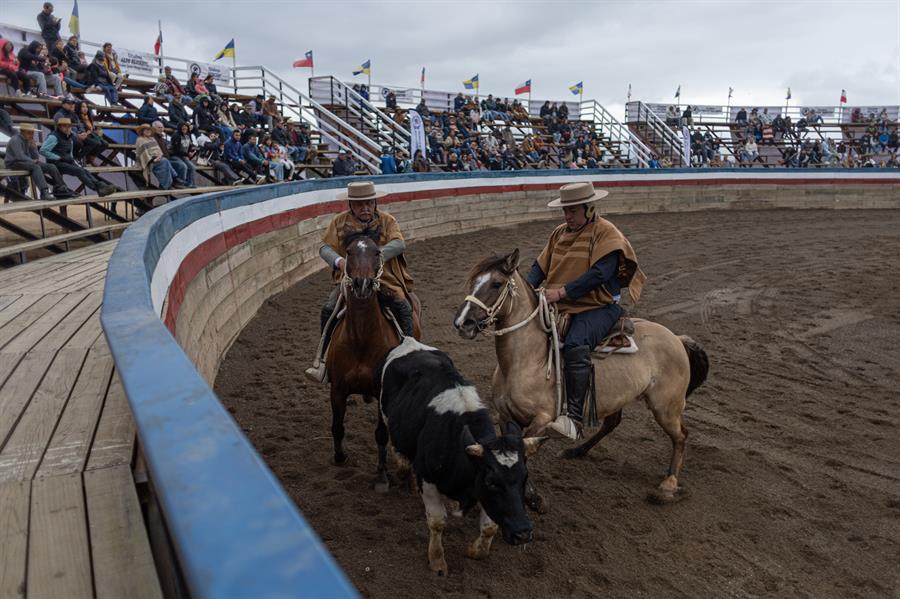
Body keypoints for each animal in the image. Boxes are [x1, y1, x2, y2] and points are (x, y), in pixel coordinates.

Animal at [326, 231, 420, 474]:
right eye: (349, 252)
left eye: (377, 252)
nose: (363, 284)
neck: (361, 339)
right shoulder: (337, 389)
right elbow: (337, 427)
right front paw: (339, 457)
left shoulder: (381, 393)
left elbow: (381, 434)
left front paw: (381, 471)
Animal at [376, 338, 544, 576]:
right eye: (492, 482)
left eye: (524, 478)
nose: (523, 533)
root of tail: (409, 341)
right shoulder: (428, 478)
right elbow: (437, 522)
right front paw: (437, 561)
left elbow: (489, 527)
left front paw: (475, 551)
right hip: (384, 414)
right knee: (394, 447)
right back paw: (402, 468)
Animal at [454, 248, 708, 506]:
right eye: (473, 281)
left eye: (496, 283)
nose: (462, 323)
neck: (526, 360)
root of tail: (677, 338)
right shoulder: (506, 416)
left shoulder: (542, 419)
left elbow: (527, 449)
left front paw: (531, 496)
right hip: (620, 397)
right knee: (612, 423)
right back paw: (575, 451)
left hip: (665, 408)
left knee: (681, 436)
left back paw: (668, 484)